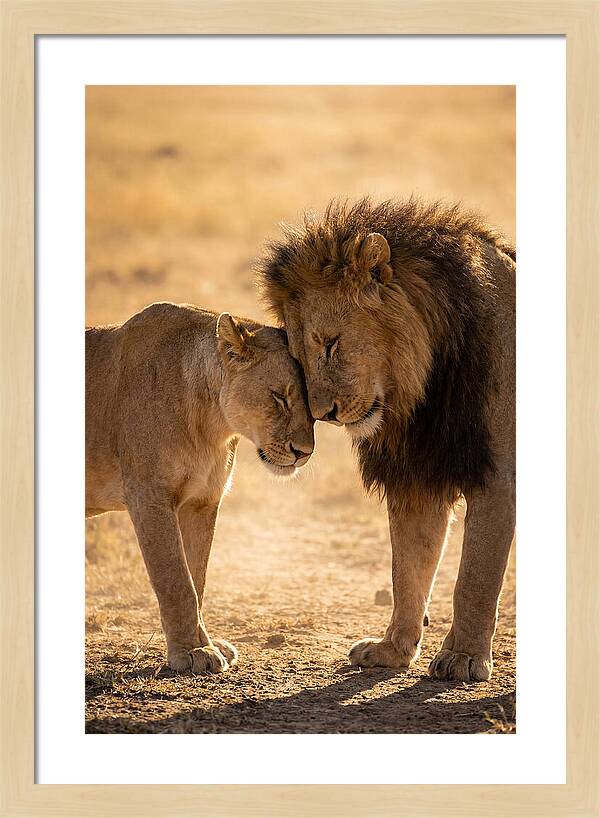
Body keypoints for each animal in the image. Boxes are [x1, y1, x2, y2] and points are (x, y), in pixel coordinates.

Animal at [86, 302, 314, 673]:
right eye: (279, 397)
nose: (304, 452)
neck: (212, 424)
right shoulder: (149, 496)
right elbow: (176, 581)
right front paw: (191, 652)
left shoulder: (202, 502)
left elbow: (197, 578)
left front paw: (206, 643)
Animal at [258, 197, 515, 682]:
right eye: (298, 358)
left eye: (331, 344)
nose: (324, 414)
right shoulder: (417, 478)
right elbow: (408, 568)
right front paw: (393, 649)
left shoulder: (498, 476)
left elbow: (475, 576)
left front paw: (463, 657)